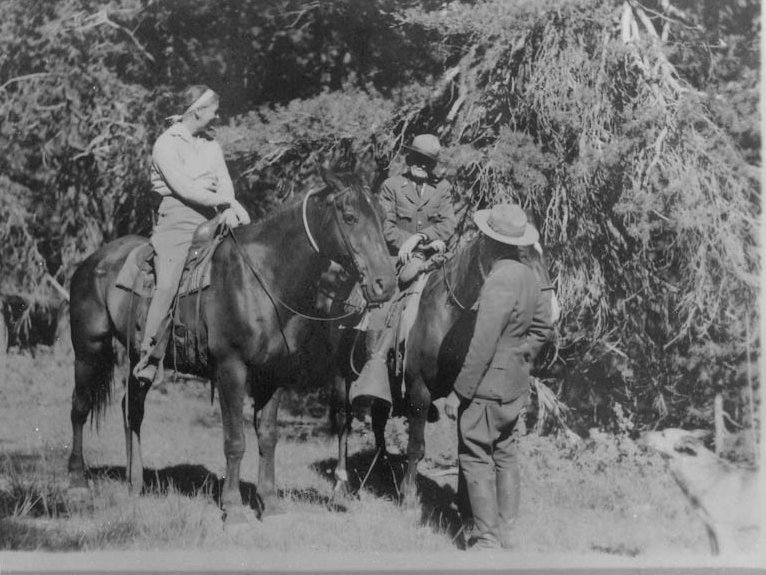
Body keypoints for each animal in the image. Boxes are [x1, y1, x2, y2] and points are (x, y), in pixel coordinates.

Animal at [67, 170, 396, 520]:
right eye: (349, 217)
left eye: (382, 216)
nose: (385, 284)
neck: (263, 277)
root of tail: (91, 261)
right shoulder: (231, 368)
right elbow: (235, 440)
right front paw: (234, 507)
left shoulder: (273, 375)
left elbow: (268, 437)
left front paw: (270, 503)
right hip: (88, 348)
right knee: (80, 407)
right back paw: (77, 483)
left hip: (138, 359)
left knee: (132, 409)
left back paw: (135, 482)